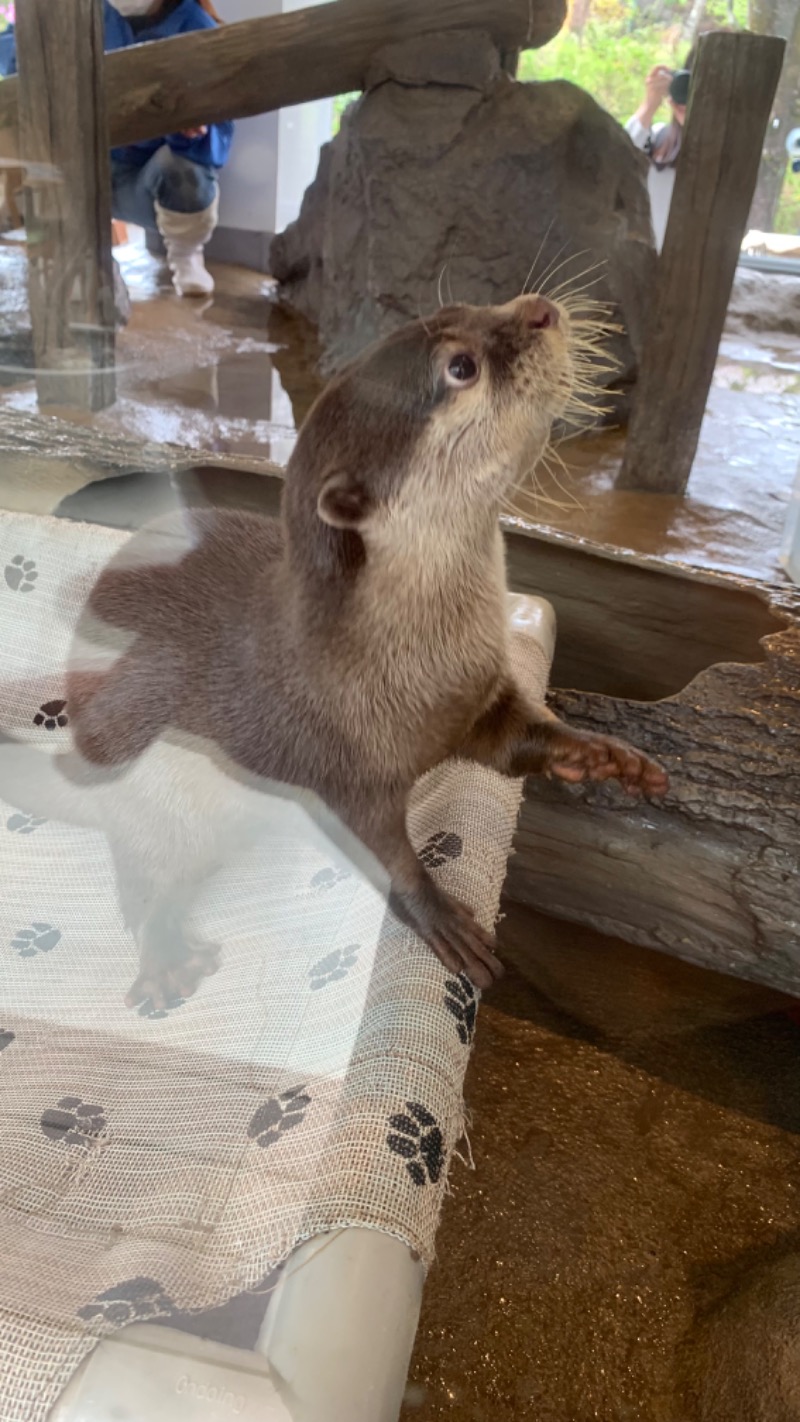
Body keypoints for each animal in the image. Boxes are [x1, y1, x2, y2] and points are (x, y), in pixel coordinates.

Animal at [3, 291, 667, 1001]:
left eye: (471, 306)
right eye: (461, 367)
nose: (539, 307)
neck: (400, 660)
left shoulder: (480, 693)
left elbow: (517, 738)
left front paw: (601, 755)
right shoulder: (333, 776)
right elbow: (384, 858)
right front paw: (438, 915)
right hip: (150, 788)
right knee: (141, 878)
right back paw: (165, 957)